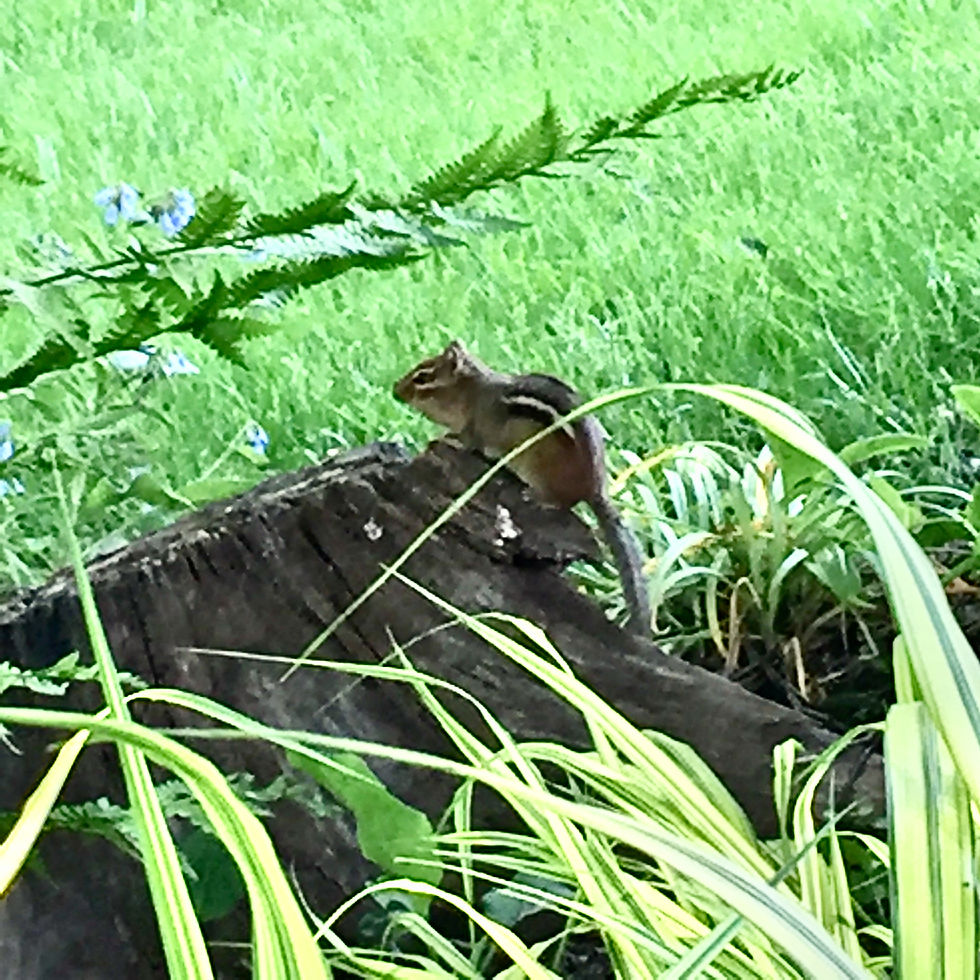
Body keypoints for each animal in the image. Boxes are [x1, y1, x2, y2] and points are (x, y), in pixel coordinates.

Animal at [393, 339, 650, 633]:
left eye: (422, 377)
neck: (472, 393)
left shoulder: (476, 429)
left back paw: (539, 497)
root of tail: (597, 490)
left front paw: (444, 439)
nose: (395, 390)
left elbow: (466, 442)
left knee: (565, 502)